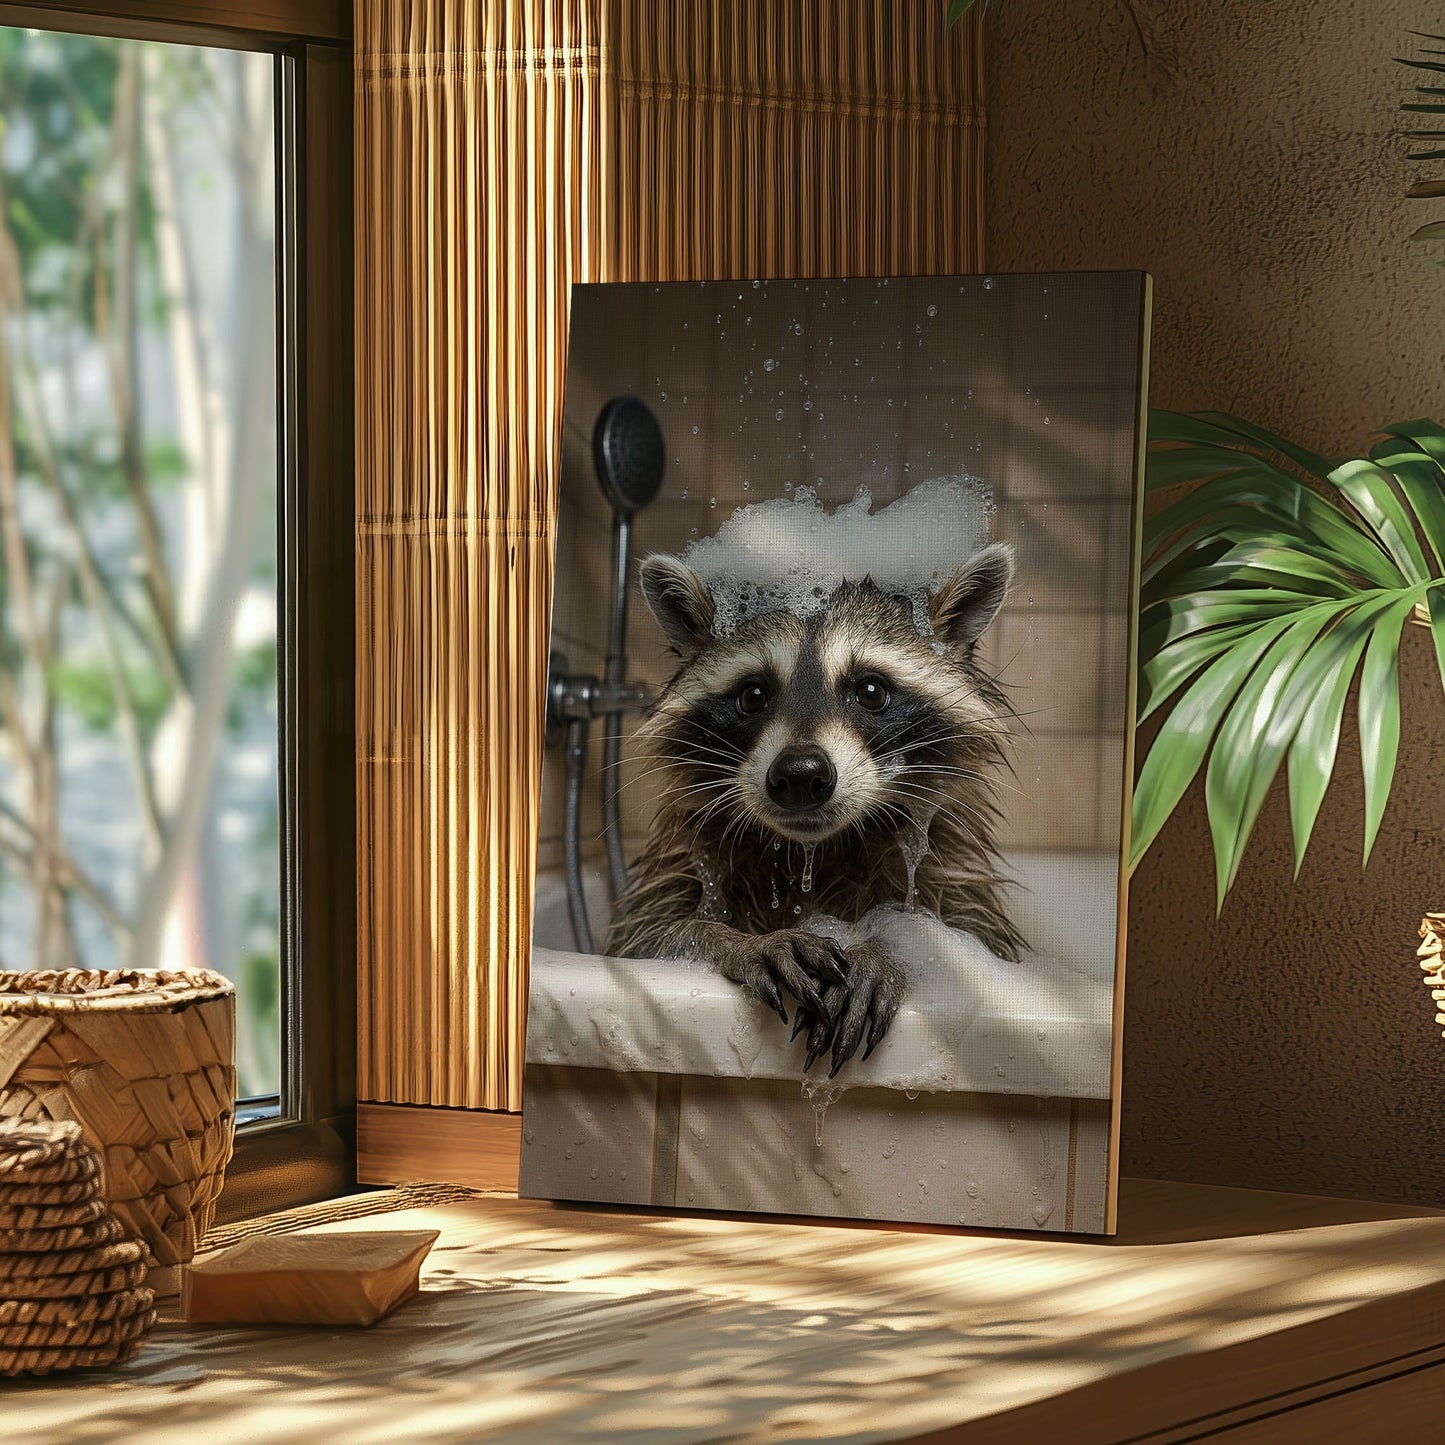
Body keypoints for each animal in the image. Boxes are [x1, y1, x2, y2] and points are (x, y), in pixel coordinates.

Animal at [605, 544, 1025, 1078]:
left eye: (871, 691)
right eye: (753, 695)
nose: (801, 775)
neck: (818, 848)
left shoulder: (952, 872)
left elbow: (965, 939)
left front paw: (884, 948)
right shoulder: (682, 860)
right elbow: (646, 938)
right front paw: (732, 940)